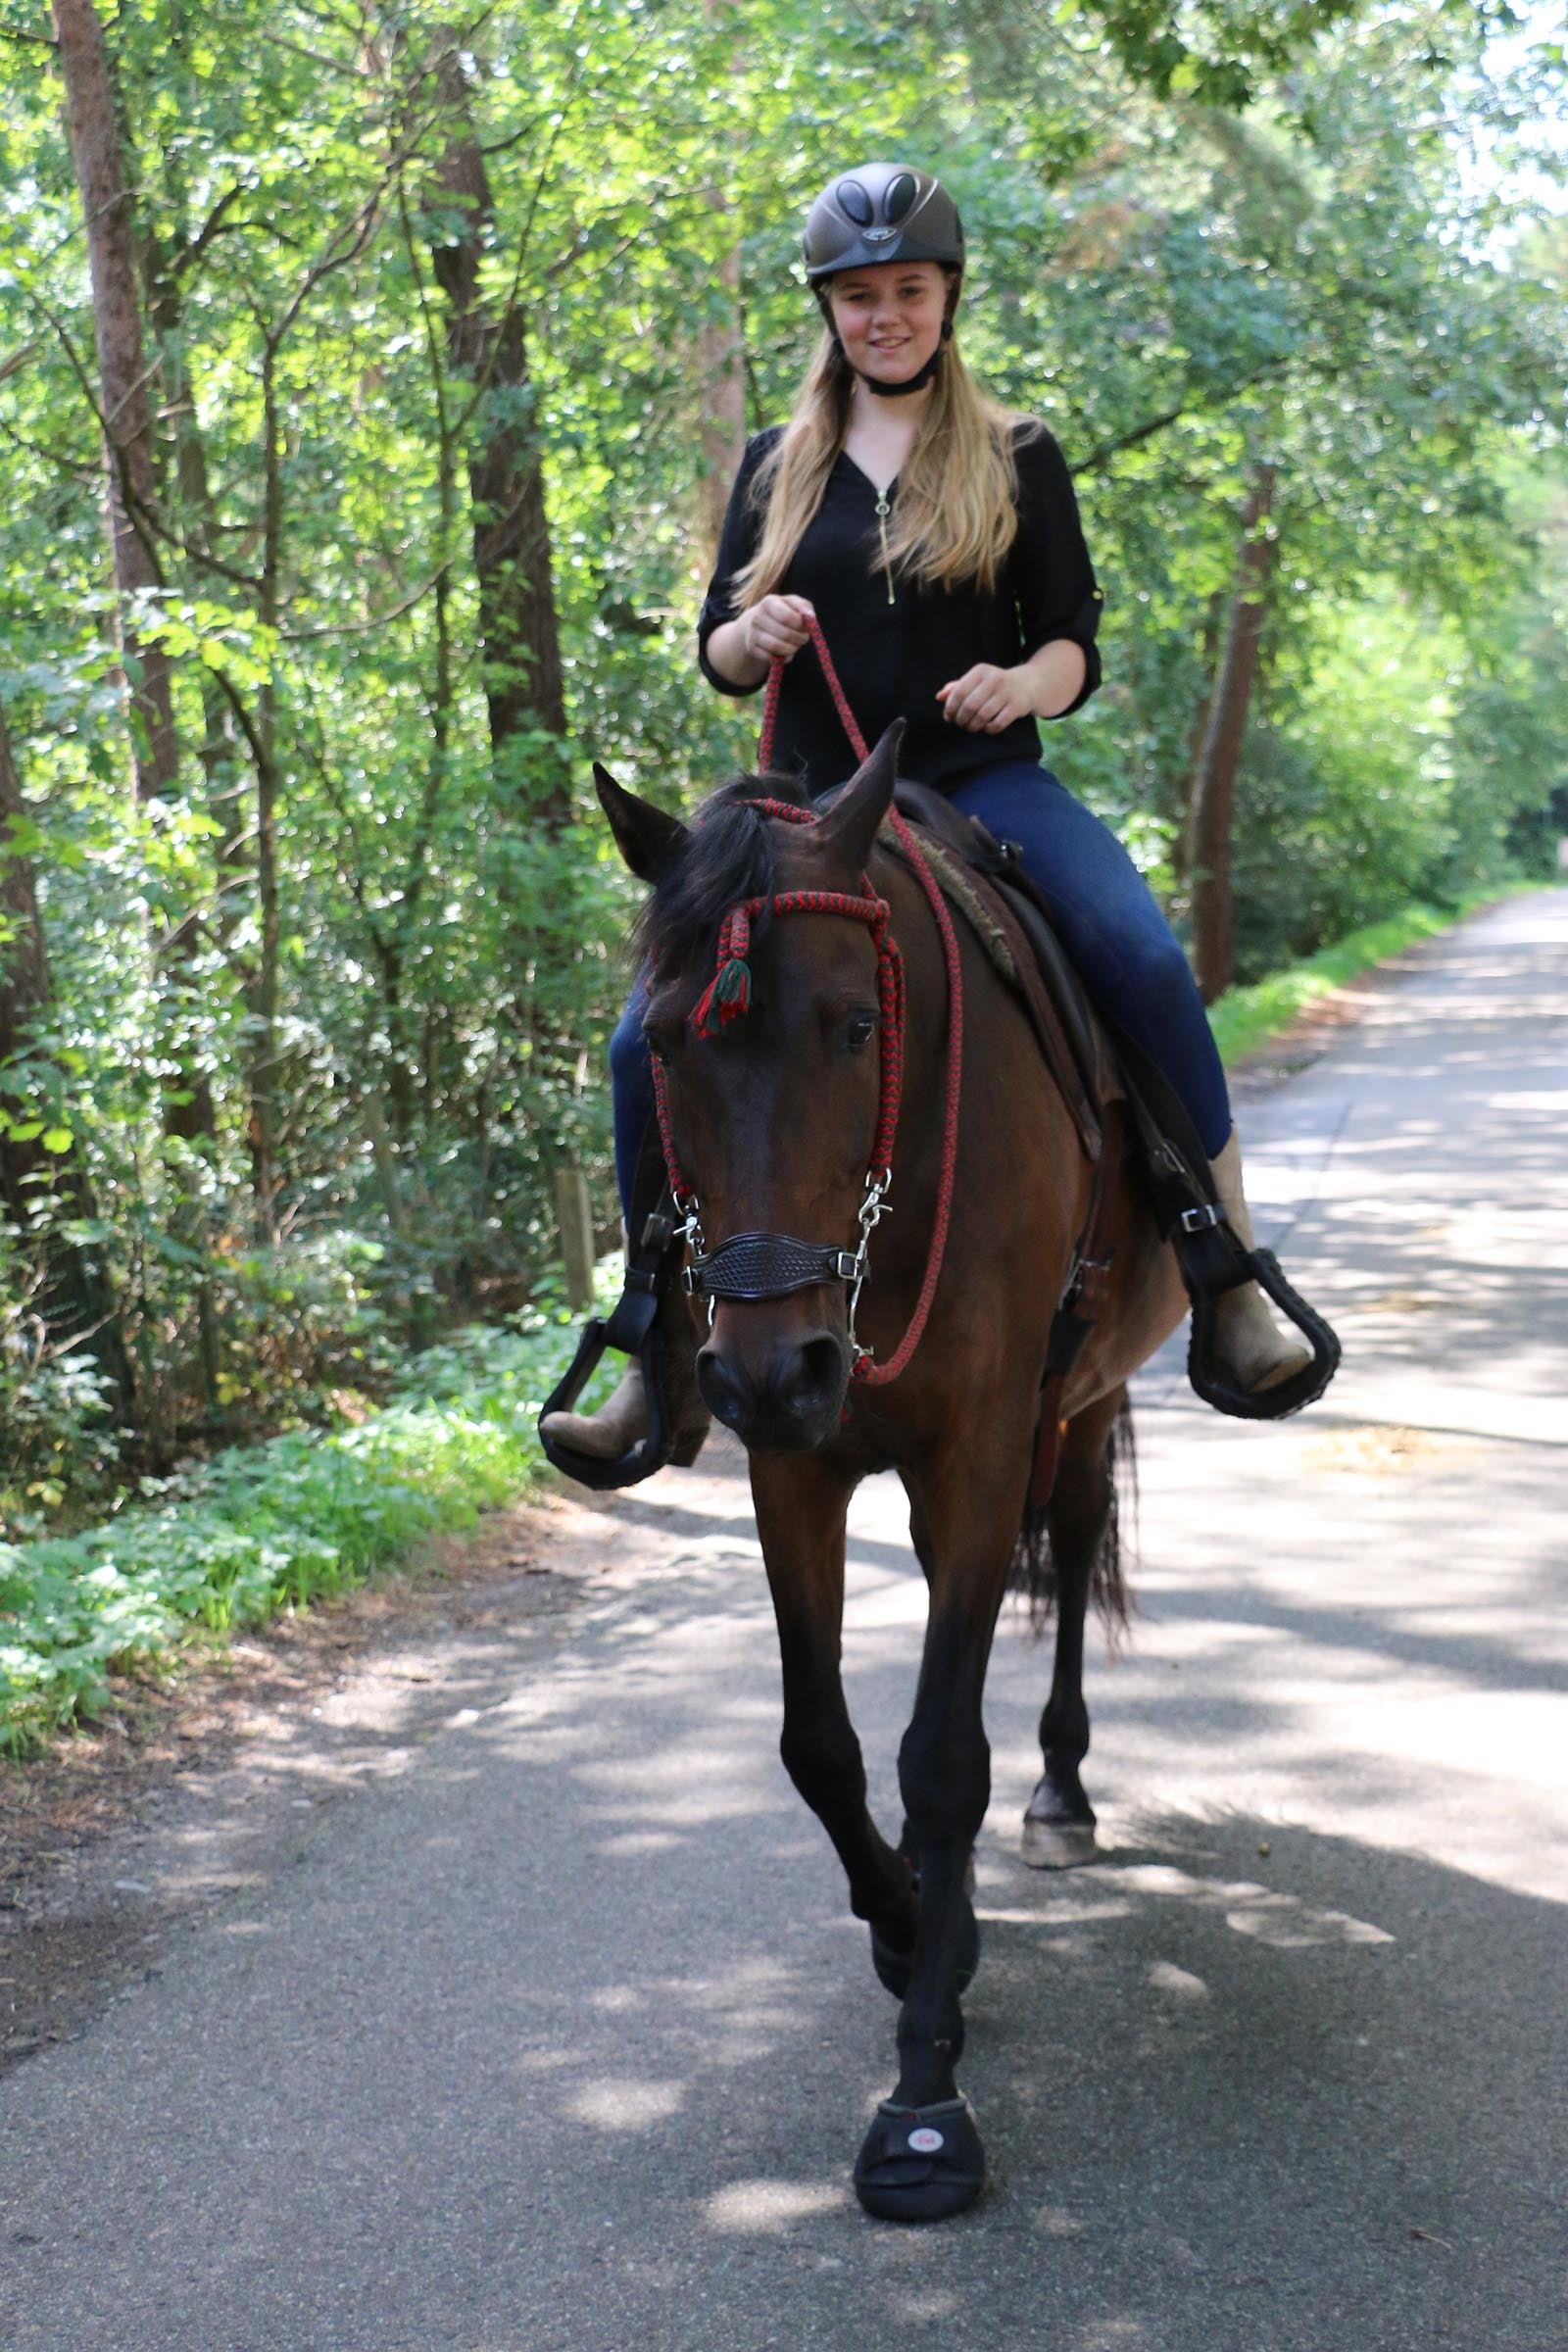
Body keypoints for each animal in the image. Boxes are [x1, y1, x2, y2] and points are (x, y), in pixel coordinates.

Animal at [593, 720, 1187, 2222]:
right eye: (664, 1046)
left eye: (858, 1027)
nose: (769, 1368)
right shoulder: (792, 1472)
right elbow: (822, 1744)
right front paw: (915, 1927)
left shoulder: (978, 1454)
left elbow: (940, 1755)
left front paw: (925, 2098)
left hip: (1081, 1404)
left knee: (1066, 1562)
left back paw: (1060, 1792)